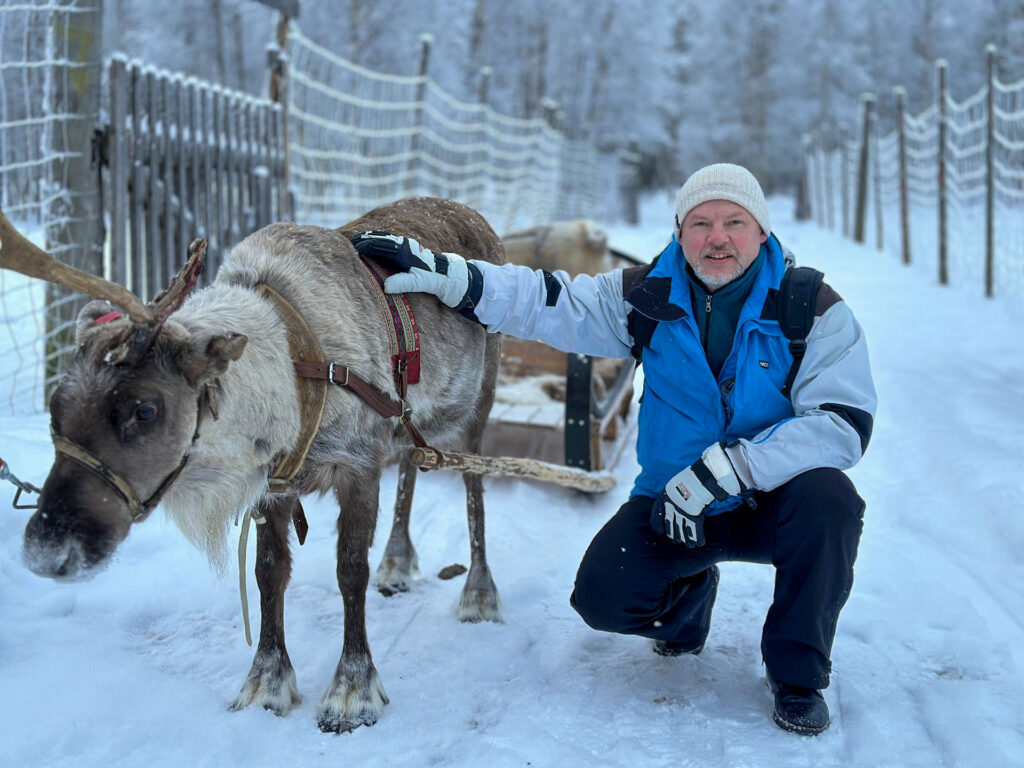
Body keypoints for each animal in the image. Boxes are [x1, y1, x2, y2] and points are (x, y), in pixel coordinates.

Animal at [0, 197, 504, 733]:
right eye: (56, 406)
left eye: (145, 410)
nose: (45, 553)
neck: (294, 370)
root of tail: (474, 215)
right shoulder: (270, 483)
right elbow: (269, 573)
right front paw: (267, 683)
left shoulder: (358, 465)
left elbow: (350, 571)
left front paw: (352, 691)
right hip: (411, 418)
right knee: (414, 461)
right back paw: (397, 562)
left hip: (477, 408)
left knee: (473, 488)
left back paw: (478, 594)